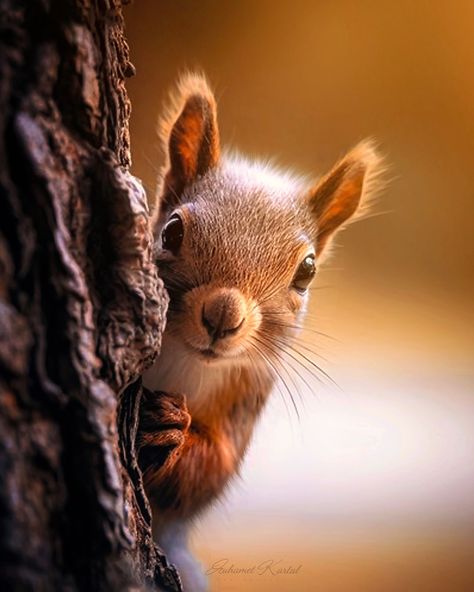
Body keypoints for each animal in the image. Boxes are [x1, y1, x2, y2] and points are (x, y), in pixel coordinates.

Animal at [137, 74, 382, 592]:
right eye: (171, 232)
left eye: (307, 270)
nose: (222, 317)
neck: (187, 363)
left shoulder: (245, 397)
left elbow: (209, 475)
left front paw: (173, 431)